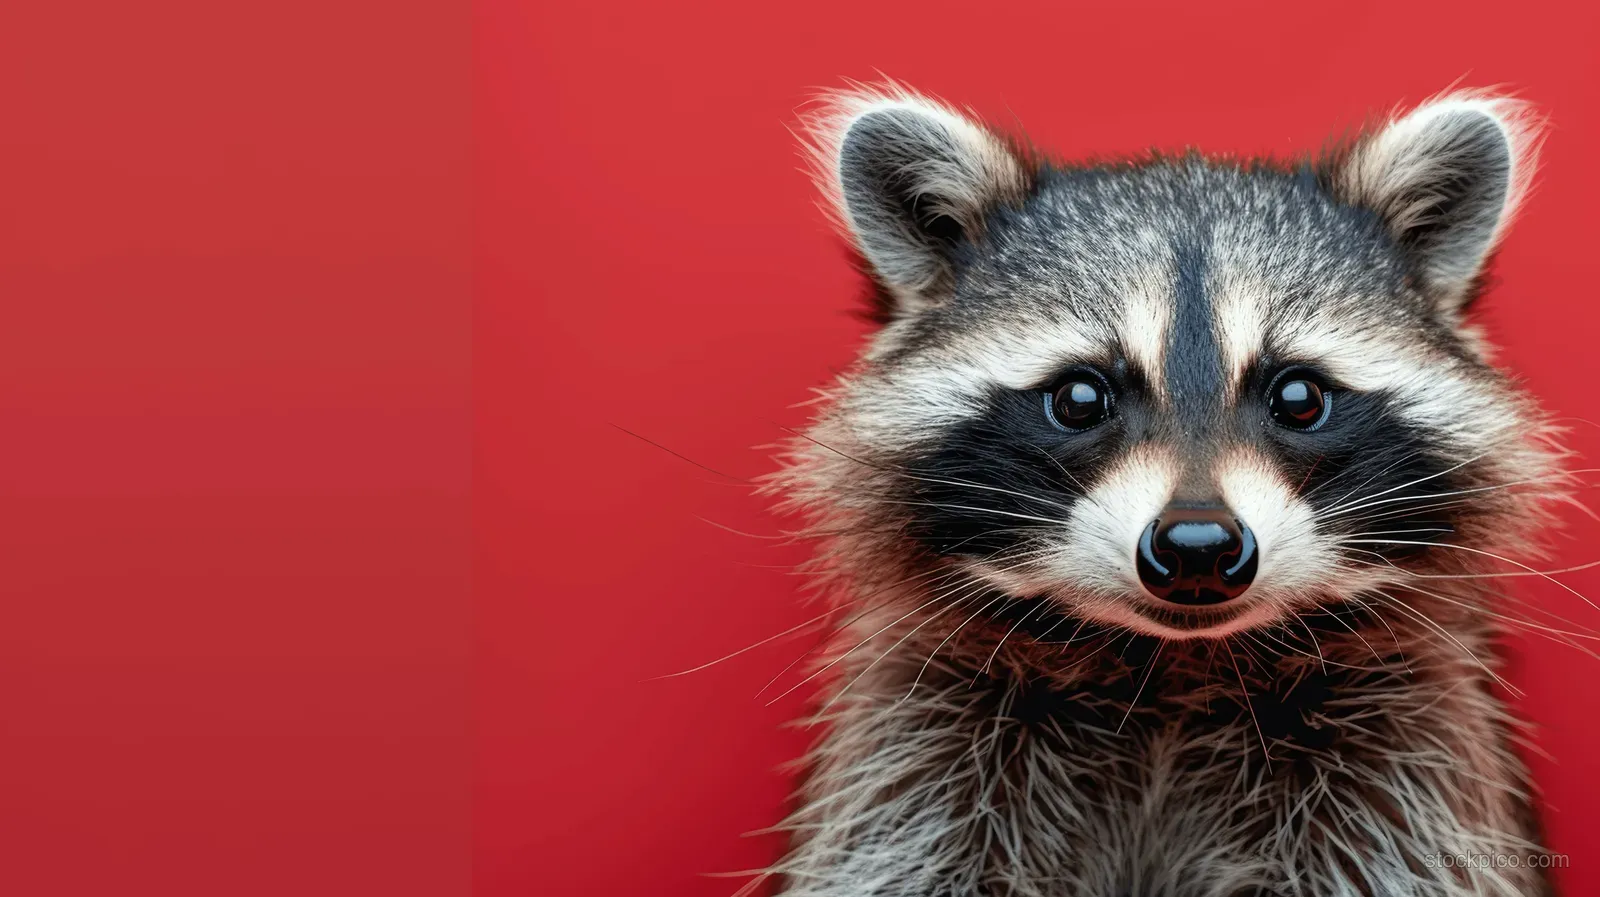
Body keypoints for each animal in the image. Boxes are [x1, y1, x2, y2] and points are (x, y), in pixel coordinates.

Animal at [760, 85, 1570, 897]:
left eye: (1299, 396)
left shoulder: (1410, 750)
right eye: (1080, 397)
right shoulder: (920, 744)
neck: (1170, 670)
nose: (1198, 547)